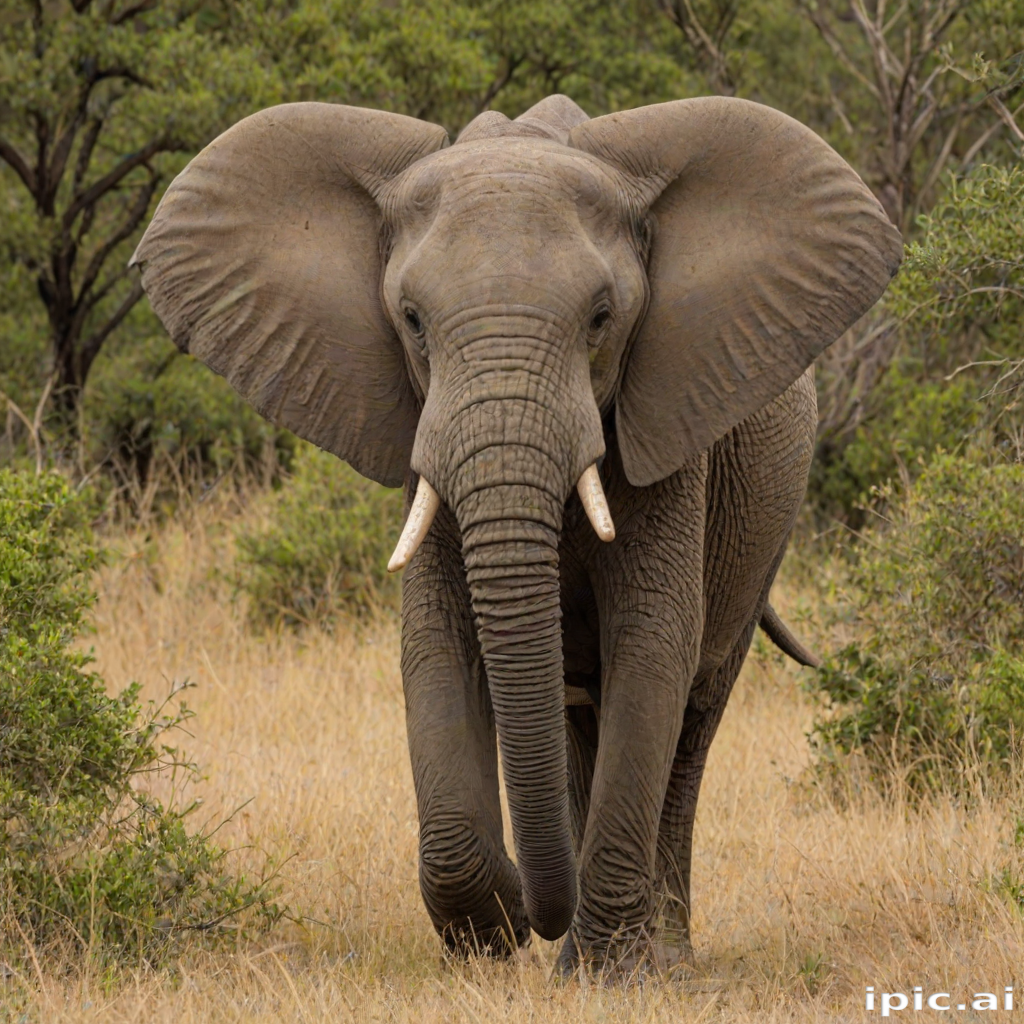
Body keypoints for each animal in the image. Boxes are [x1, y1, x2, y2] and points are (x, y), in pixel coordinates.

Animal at [131, 93, 901, 971]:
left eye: (601, 319)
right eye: (412, 320)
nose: (541, 920)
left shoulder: (671, 429)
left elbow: (654, 645)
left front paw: (607, 974)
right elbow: (435, 645)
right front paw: (491, 933)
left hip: (763, 526)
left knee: (693, 719)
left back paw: (665, 952)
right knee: (578, 717)